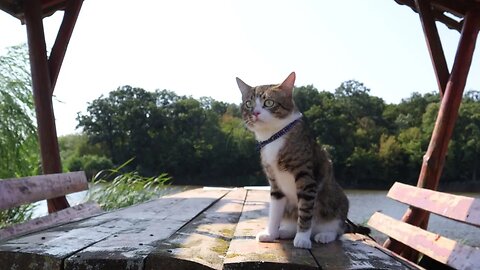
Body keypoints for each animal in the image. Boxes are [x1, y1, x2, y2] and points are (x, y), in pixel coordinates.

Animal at [237, 72, 352, 249]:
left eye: (269, 102)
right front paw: (270, 233)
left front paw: (302, 239)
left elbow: (305, 211)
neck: (275, 136)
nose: (255, 113)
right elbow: (275, 211)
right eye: (249, 103)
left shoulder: (306, 178)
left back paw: (324, 235)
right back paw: (285, 231)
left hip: (338, 201)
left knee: (337, 229)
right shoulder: (274, 182)